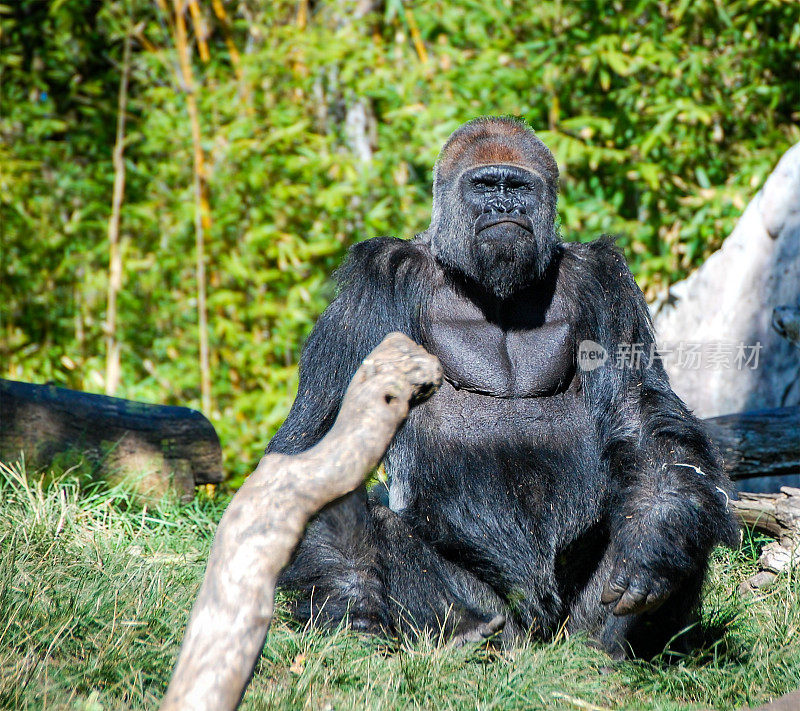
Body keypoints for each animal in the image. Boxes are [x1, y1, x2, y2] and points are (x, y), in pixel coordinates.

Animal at [268, 115, 736, 656]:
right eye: (485, 185)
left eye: (517, 187)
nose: (504, 209)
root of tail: (536, 636)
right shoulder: (376, 281)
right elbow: (321, 446)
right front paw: (354, 608)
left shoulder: (603, 280)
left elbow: (638, 413)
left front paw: (653, 544)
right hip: (501, 621)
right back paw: (465, 632)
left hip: (570, 628)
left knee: (688, 496)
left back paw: (614, 649)